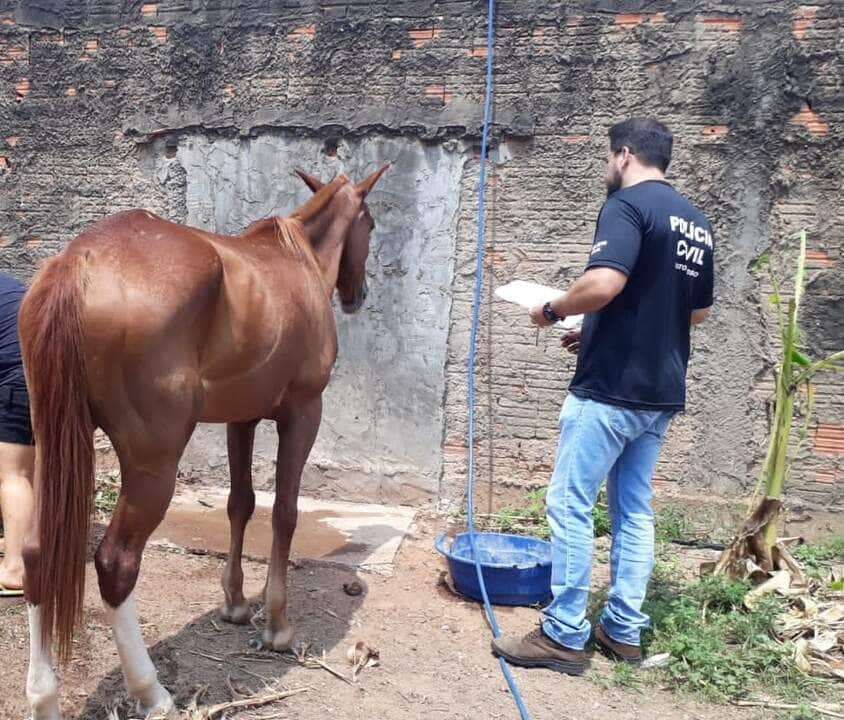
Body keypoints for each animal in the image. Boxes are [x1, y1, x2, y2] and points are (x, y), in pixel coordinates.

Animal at [19, 165, 390, 720]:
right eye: (369, 222)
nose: (358, 294)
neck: (296, 259)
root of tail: (76, 263)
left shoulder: (243, 419)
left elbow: (241, 503)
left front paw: (235, 604)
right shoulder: (303, 412)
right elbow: (284, 511)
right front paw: (277, 626)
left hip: (55, 449)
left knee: (38, 552)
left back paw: (43, 696)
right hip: (153, 466)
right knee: (115, 564)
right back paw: (152, 693)